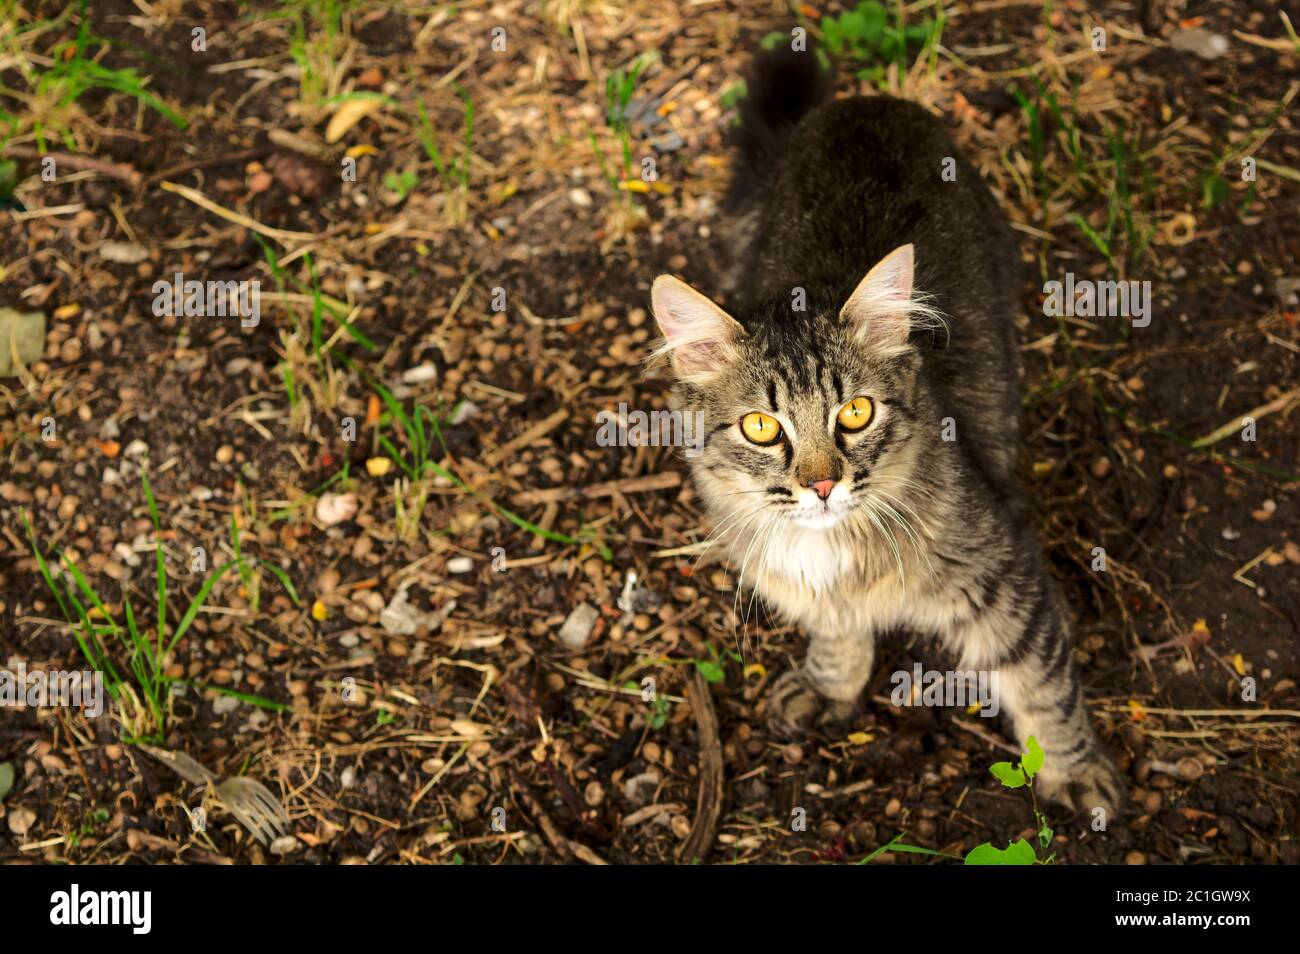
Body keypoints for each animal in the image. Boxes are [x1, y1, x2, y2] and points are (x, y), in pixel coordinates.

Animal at [655, 44, 1123, 816]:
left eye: (855, 414)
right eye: (761, 427)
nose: (820, 486)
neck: (834, 549)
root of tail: (864, 104)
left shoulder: (1004, 573)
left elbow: (1044, 682)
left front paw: (1075, 770)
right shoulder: (818, 596)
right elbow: (838, 634)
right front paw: (831, 685)